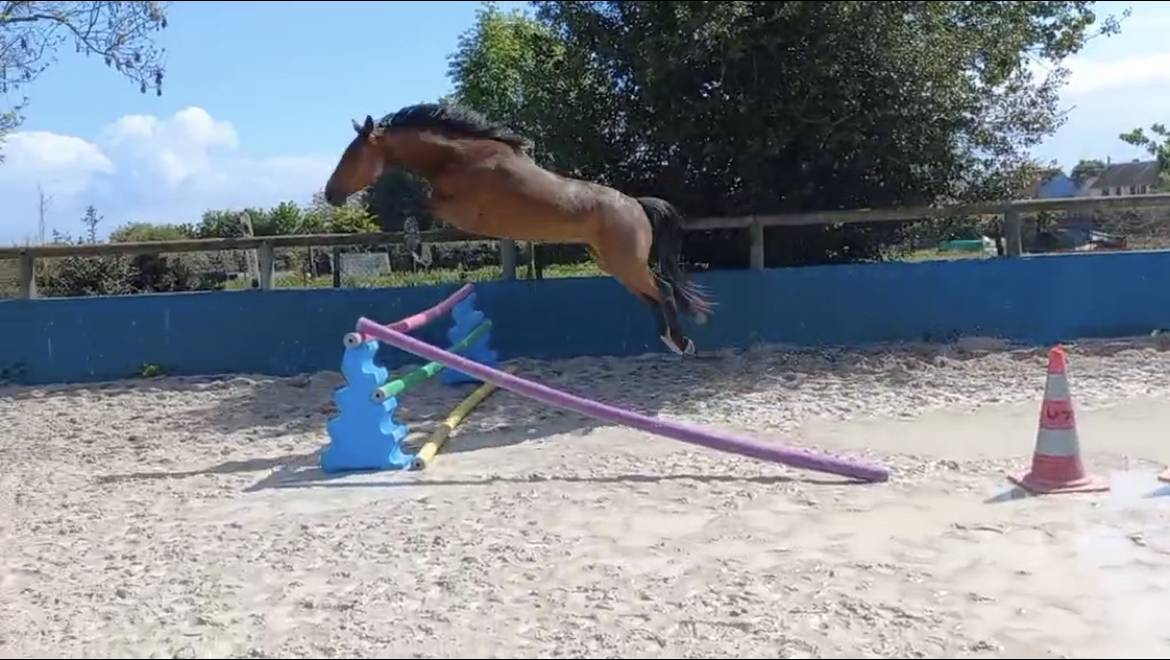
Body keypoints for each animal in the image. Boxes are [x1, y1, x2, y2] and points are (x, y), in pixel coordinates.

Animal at [323, 103, 714, 356]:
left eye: (351, 156)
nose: (330, 194)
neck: (458, 156)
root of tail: (636, 205)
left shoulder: (461, 210)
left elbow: (416, 206)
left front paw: (418, 247)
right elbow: (417, 207)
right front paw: (419, 247)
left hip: (625, 262)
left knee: (663, 289)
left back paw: (682, 343)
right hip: (614, 264)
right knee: (652, 295)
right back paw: (671, 340)